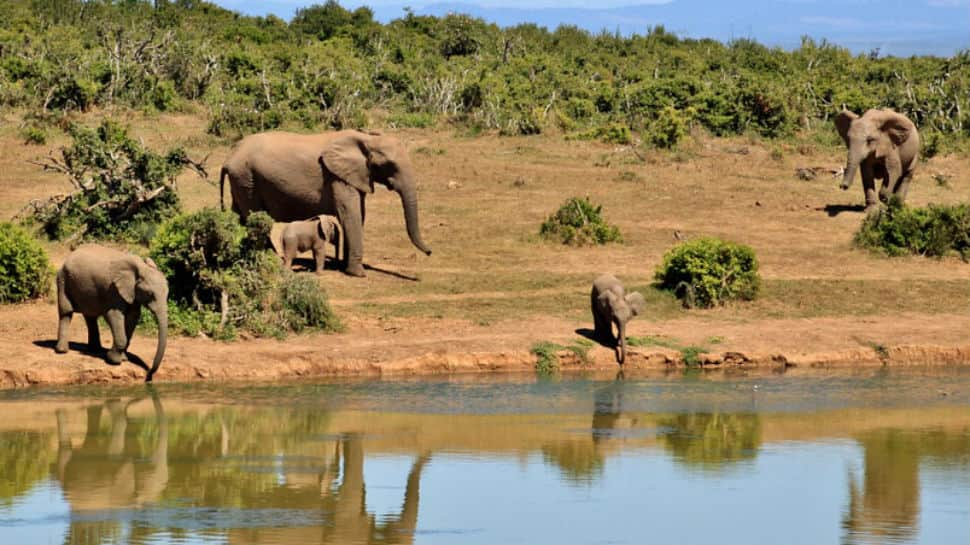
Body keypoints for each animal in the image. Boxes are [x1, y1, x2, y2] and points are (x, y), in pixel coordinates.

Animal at [56, 244, 168, 380]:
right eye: (150, 294)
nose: (149, 374)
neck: (140, 268)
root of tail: (69, 256)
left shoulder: (132, 293)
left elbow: (132, 317)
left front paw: (124, 359)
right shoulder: (113, 290)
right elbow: (113, 315)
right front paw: (113, 360)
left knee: (90, 316)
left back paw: (95, 350)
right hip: (63, 280)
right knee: (66, 313)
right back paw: (62, 351)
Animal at [221, 130, 432, 276]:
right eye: (390, 166)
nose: (430, 252)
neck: (366, 138)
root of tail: (229, 157)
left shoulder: (354, 176)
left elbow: (358, 215)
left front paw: (346, 267)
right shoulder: (337, 178)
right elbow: (350, 214)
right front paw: (358, 274)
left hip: (241, 181)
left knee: (240, 216)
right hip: (246, 178)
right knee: (254, 217)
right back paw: (272, 260)